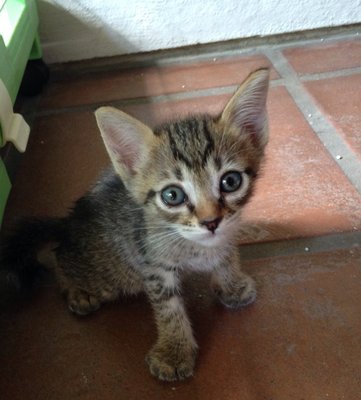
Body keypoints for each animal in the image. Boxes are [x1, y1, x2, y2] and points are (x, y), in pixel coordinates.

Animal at [0, 69, 268, 382]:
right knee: (58, 257)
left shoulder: (227, 232)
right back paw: (77, 290)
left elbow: (226, 255)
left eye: (231, 181)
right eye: (172, 195)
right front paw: (174, 352)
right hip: (113, 274)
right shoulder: (151, 264)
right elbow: (168, 308)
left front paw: (231, 285)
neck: (195, 246)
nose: (211, 221)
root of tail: (69, 221)